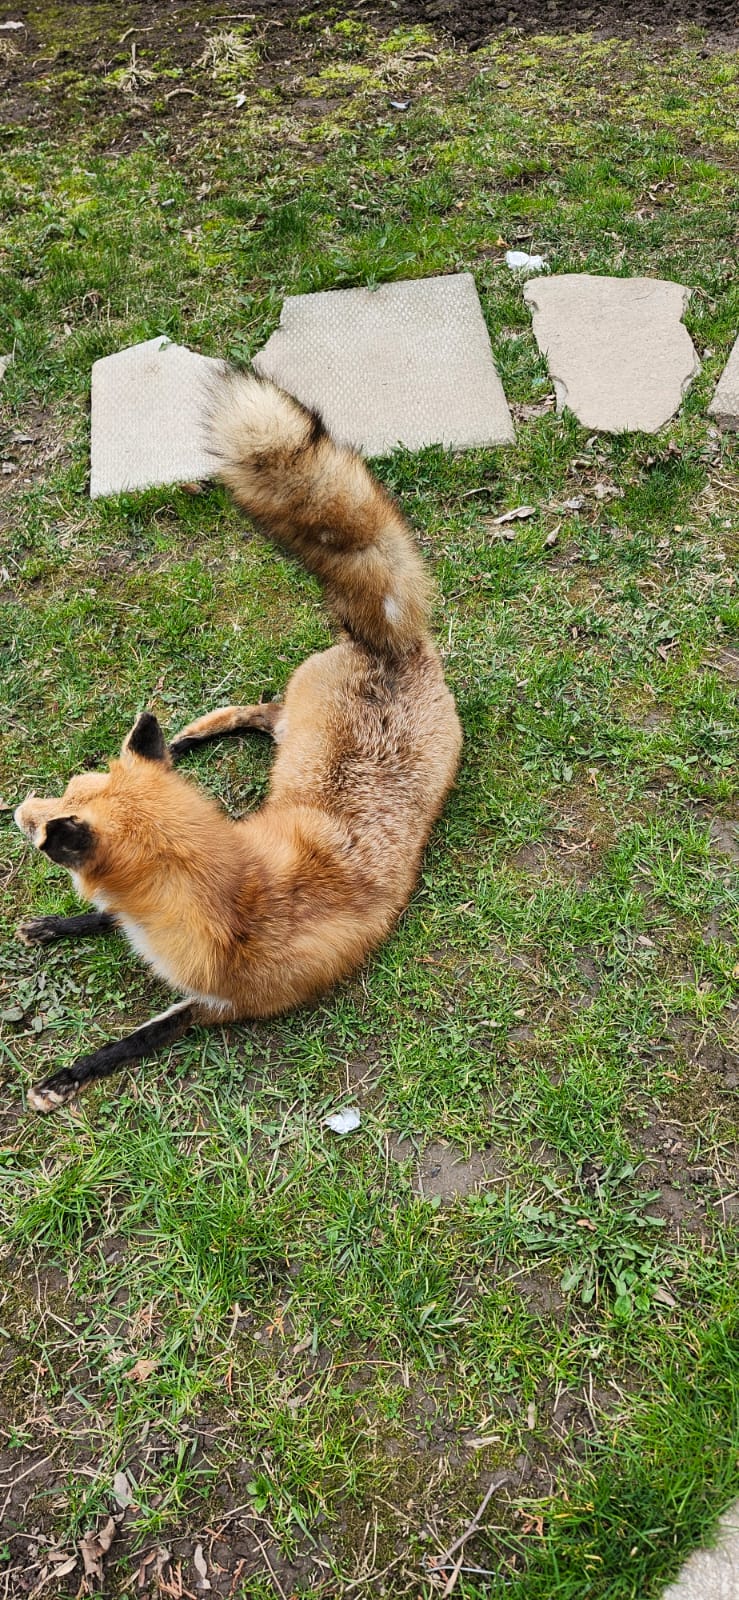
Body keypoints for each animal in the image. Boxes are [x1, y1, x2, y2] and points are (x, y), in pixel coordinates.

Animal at [14, 368, 463, 1113]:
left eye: (50, 829)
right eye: (66, 788)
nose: (17, 808)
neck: (230, 902)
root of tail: (394, 647)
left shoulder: (213, 1005)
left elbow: (134, 1038)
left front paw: (67, 1075)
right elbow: (102, 921)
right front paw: (54, 926)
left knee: (257, 712)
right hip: (292, 721)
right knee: (250, 712)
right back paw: (184, 742)